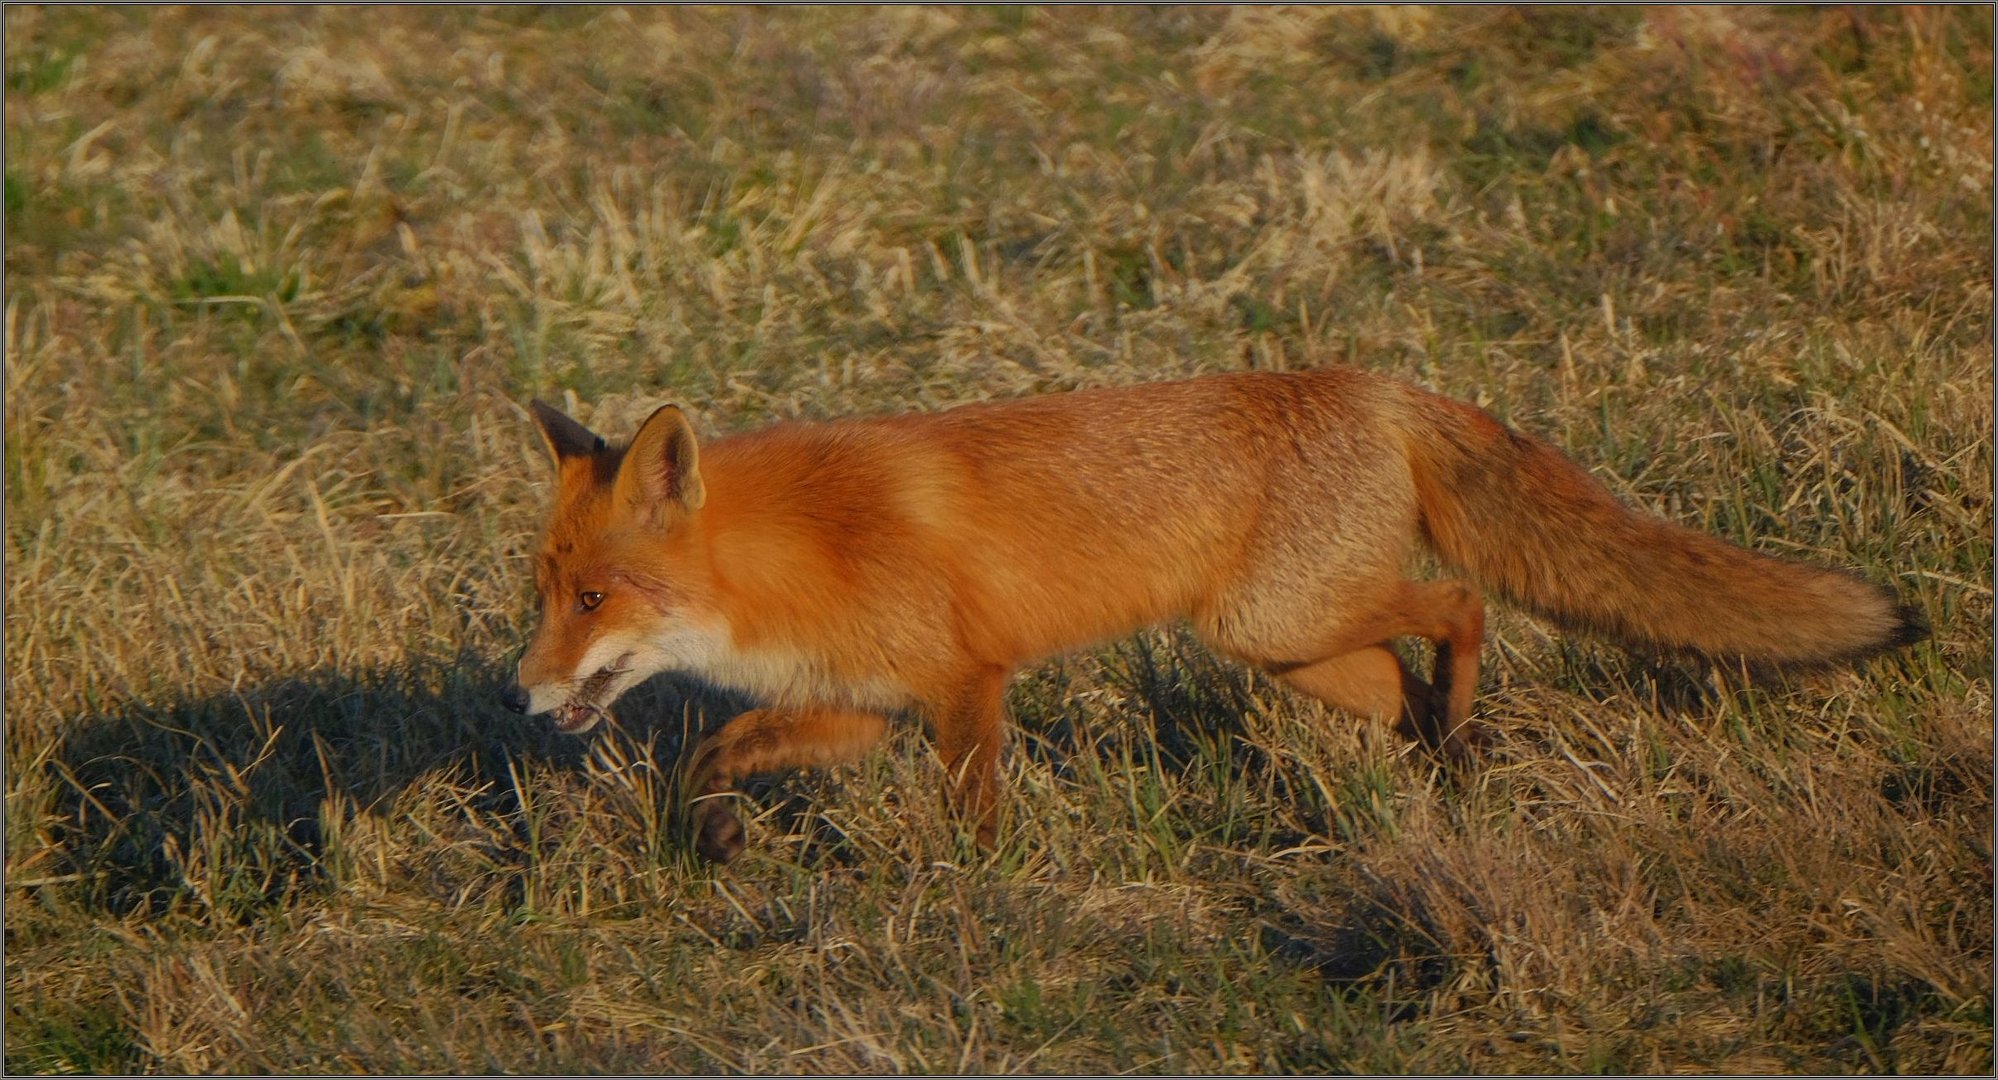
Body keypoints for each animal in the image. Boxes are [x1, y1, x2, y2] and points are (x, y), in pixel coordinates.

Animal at [495, 369, 1918, 858]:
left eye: (593, 597)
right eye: (543, 596)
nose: (519, 694)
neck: (807, 550)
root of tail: (1370, 380)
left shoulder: (965, 684)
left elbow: (974, 814)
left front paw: (977, 902)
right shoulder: (862, 706)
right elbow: (710, 751)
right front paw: (715, 839)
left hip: (1281, 621)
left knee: (1461, 606)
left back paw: (1466, 737)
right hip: (1298, 651)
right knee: (1407, 674)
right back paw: (1439, 771)